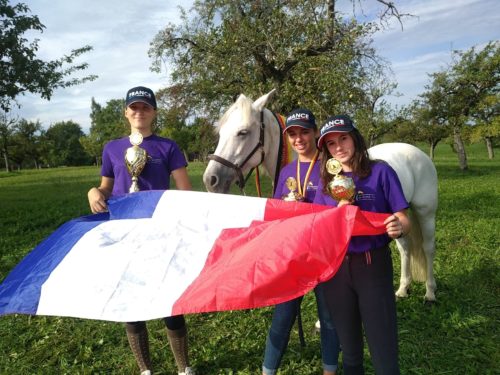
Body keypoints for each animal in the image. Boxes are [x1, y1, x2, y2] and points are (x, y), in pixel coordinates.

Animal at [203, 90, 438, 302]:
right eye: (220, 133)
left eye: (242, 132)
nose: (211, 179)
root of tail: (417, 152)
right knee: (405, 247)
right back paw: (402, 289)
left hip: (425, 212)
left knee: (427, 248)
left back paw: (430, 292)